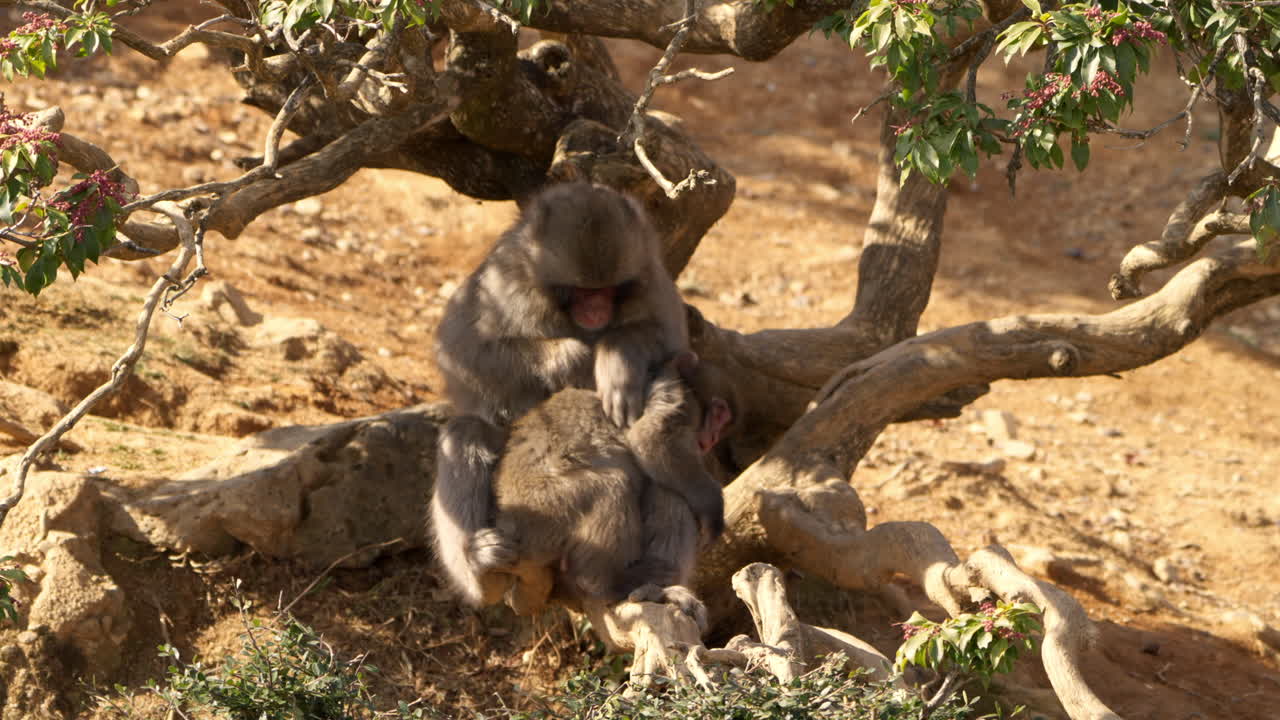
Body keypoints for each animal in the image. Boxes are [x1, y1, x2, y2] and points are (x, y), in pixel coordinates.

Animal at [430, 183, 697, 606]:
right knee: (466, 432)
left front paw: (616, 361)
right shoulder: (501, 284)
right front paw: (573, 356)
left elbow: (673, 346)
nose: (596, 309)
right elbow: (461, 348)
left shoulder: (654, 283)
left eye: (608, 290)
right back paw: (481, 572)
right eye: (580, 291)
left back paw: (656, 579)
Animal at [475, 351, 737, 625]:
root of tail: (503, 517)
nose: (713, 439)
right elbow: (651, 441)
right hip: (540, 513)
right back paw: (606, 584)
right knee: (616, 487)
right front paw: (712, 507)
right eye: (721, 416)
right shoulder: (677, 396)